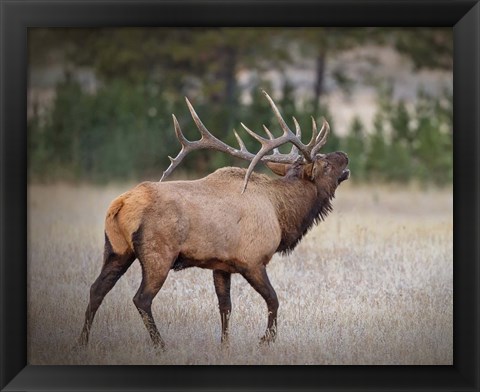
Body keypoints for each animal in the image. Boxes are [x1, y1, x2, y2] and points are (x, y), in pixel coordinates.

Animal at [79, 90, 348, 348]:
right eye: (324, 164)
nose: (344, 155)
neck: (282, 214)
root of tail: (120, 204)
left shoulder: (221, 265)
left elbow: (225, 307)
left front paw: (225, 345)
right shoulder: (252, 260)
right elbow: (273, 299)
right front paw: (266, 339)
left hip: (117, 250)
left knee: (96, 289)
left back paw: (82, 341)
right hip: (158, 254)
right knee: (141, 299)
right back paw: (160, 345)